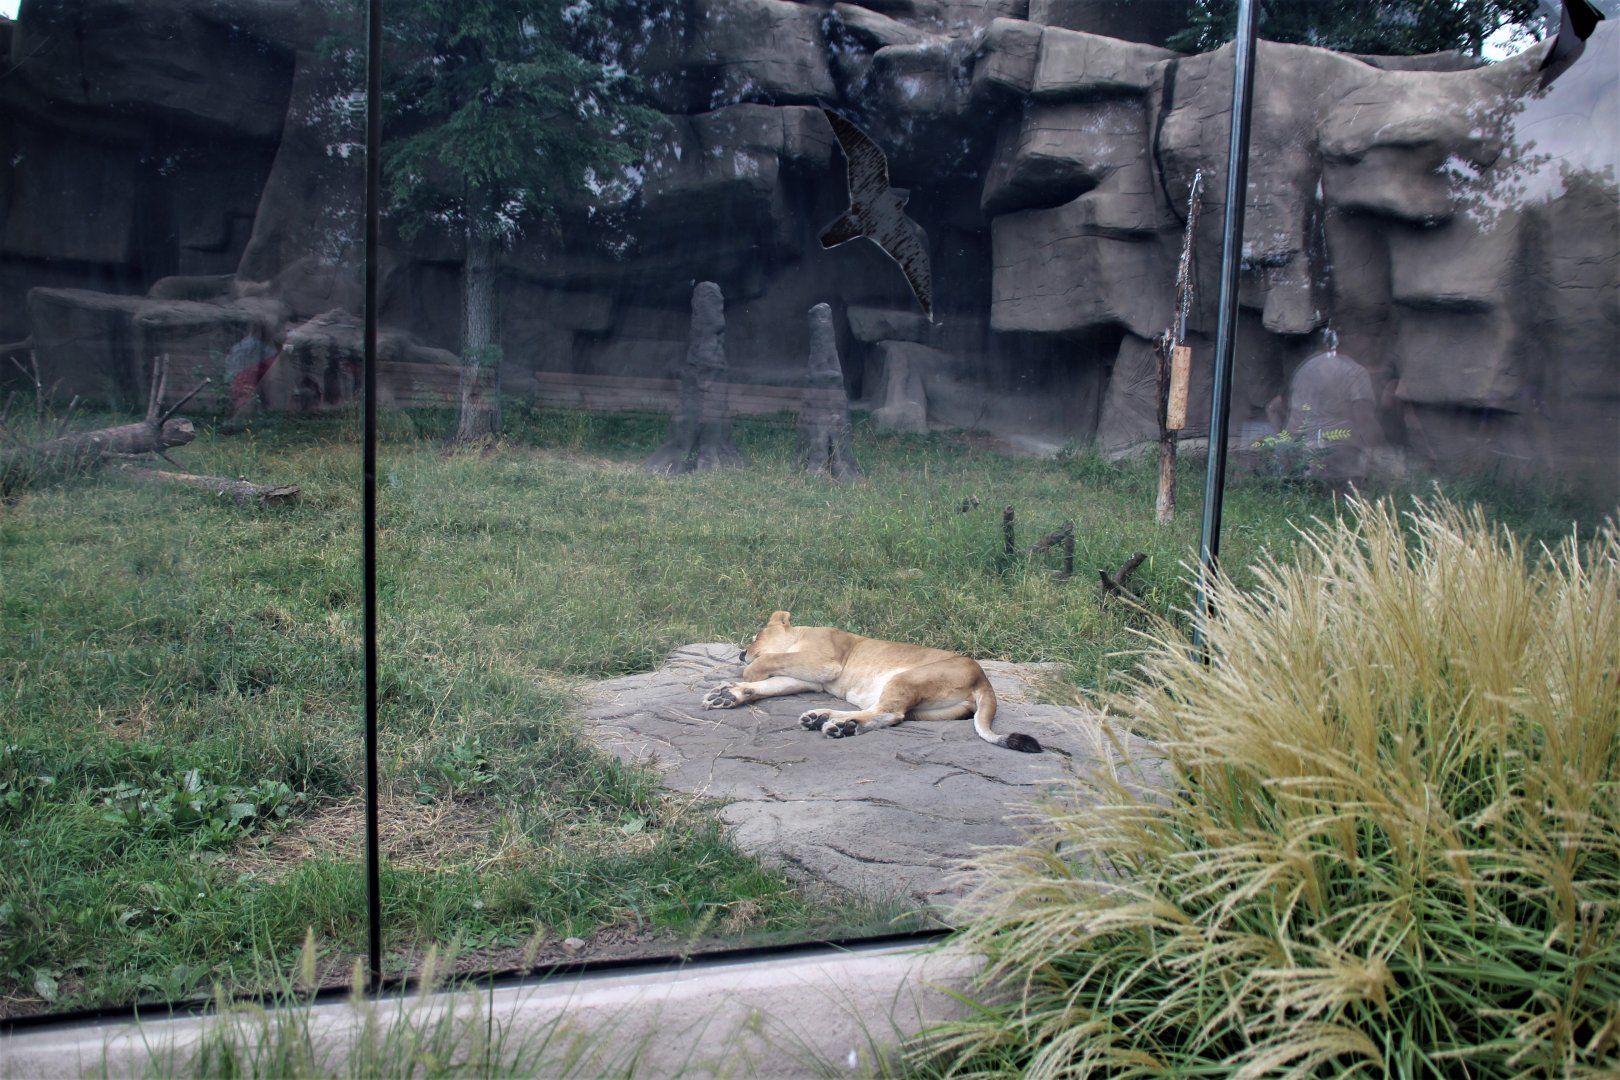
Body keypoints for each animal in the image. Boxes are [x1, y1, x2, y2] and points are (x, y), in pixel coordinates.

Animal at [701, 611, 1044, 753]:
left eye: (755, 636)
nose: (741, 653)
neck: (801, 635)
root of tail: (983, 678)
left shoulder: (825, 662)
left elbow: (769, 662)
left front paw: (743, 675)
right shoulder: (813, 681)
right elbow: (771, 684)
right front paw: (727, 695)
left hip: (906, 677)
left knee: (889, 713)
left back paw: (838, 726)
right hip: (927, 708)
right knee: (890, 714)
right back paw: (822, 718)